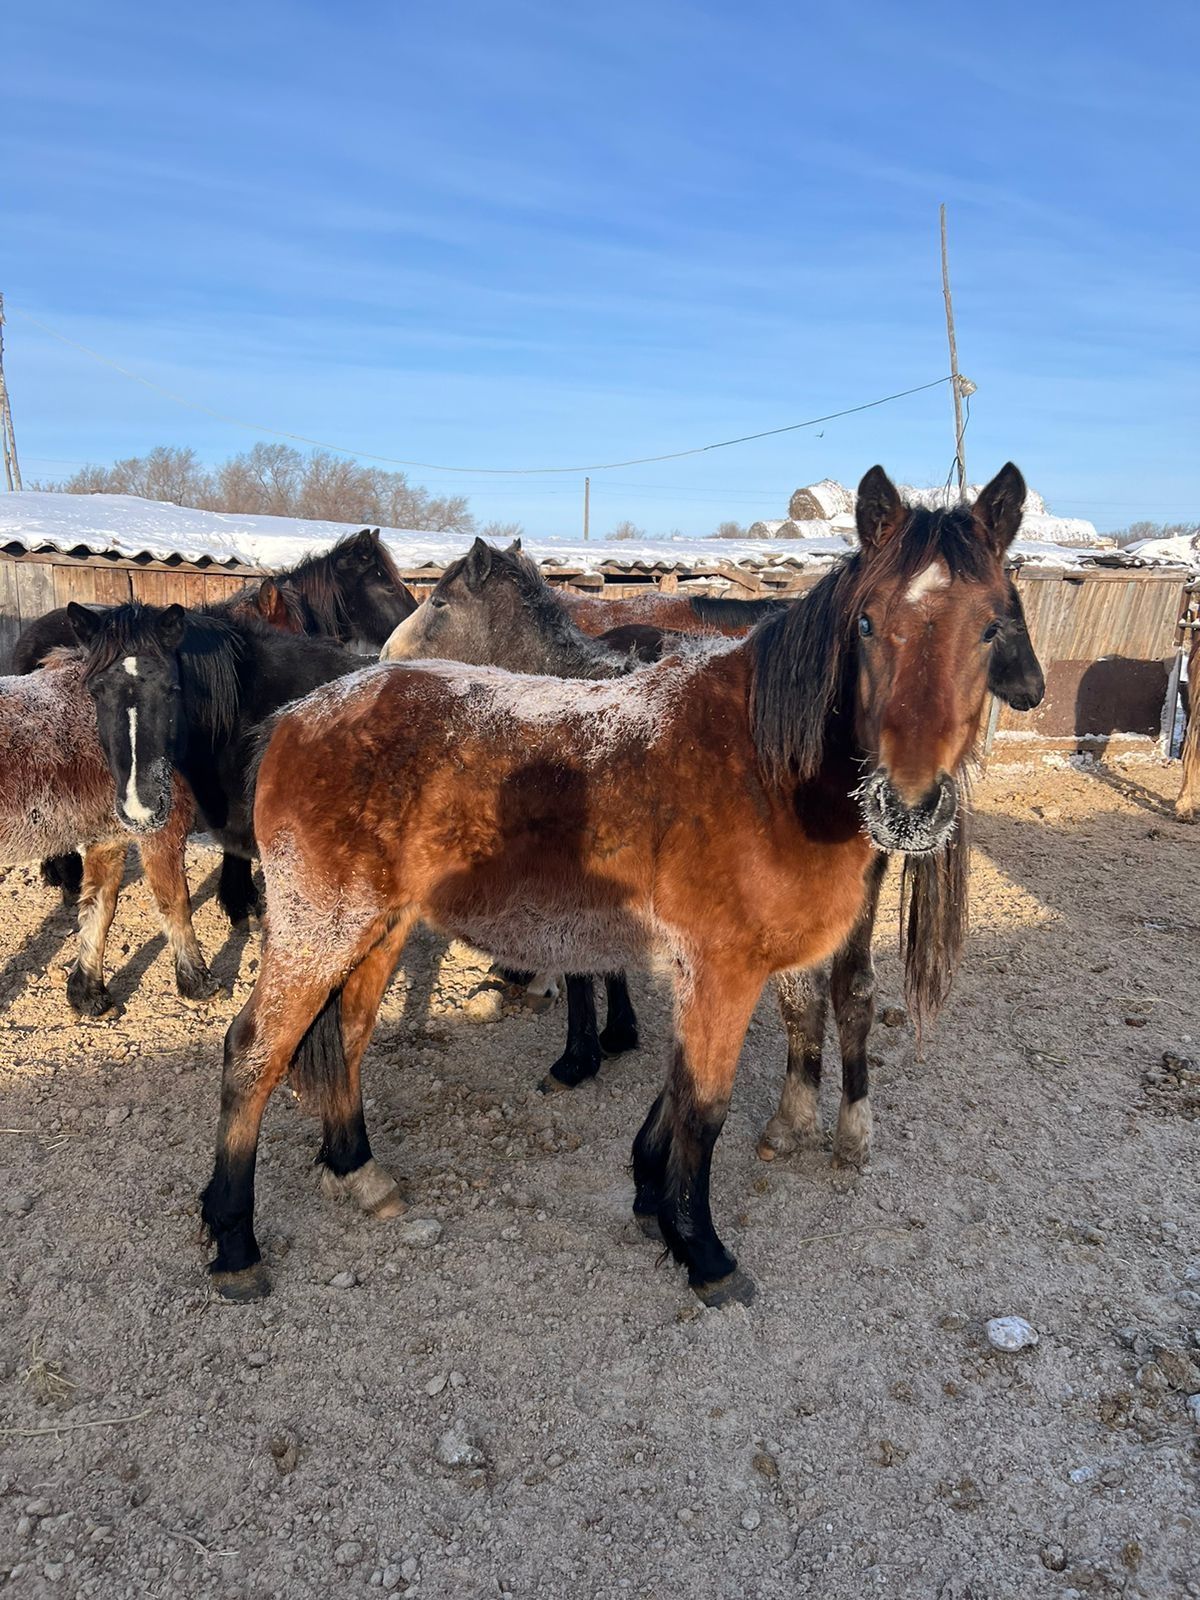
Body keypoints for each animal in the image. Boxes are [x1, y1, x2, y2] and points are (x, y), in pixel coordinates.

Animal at [202, 460, 1030, 1299]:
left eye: (993, 625)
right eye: (865, 623)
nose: (910, 804)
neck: (759, 765)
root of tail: (297, 715)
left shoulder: (711, 970)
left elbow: (681, 1087)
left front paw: (653, 1198)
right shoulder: (720, 970)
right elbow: (703, 1106)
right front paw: (703, 1251)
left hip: (380, 928)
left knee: (346, 1035)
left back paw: (357, 1172)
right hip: (320, 930)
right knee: (254, 1052)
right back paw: (235, 1242)